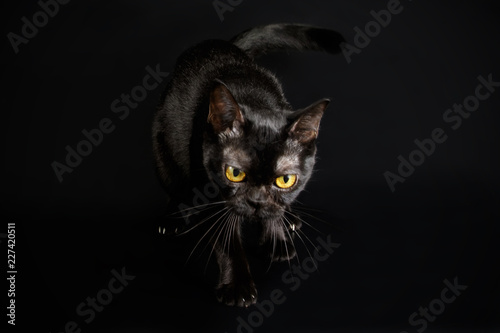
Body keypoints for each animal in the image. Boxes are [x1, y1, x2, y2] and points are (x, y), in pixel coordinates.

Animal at [152, 23, 344, 306]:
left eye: (285, 180)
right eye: (234, 173)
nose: (257, 201)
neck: (254, 98)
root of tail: (219, 43)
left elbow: (274, 212)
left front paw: (276, 241)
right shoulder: (207, 188)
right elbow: (227, 241)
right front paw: (238, 286)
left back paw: (290, 218)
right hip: (162, 149)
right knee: (174, 188)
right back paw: (172, 218)